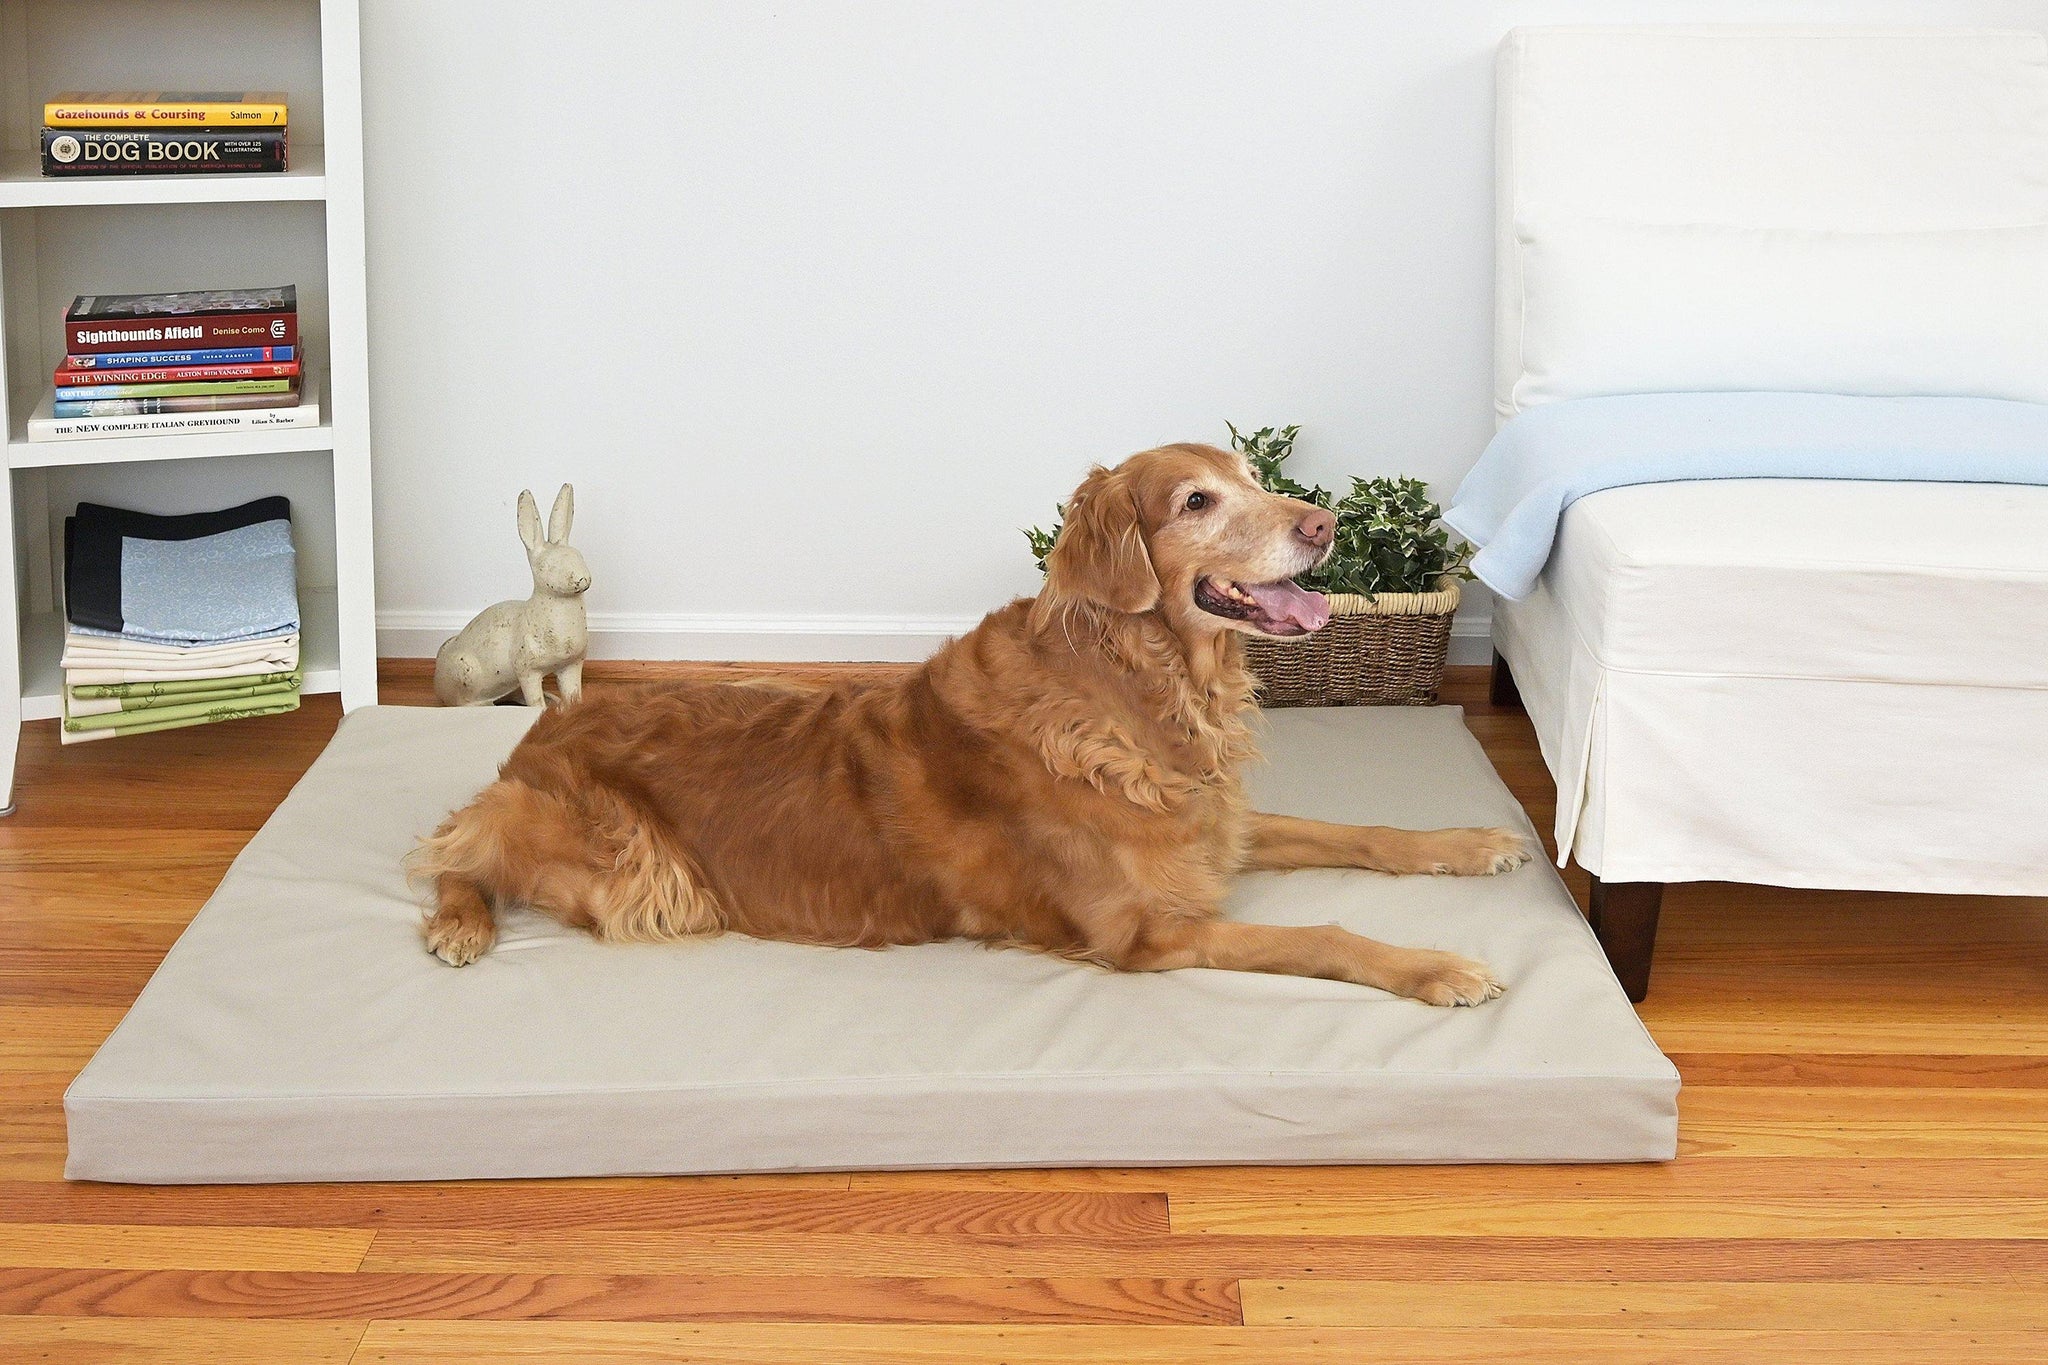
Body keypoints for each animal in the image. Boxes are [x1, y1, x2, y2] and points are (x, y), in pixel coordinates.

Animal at [415, 446, 1531, 1002]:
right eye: (1198, 500)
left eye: (1256, 480)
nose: (1323, 524)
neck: (1139, 689)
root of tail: (546, 725)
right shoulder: (1149, 932)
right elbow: (1323, 934)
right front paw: (1436, 966)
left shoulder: (1218, 830)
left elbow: (1362, 832)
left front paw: (1474, 840)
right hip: (644, 876)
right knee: (453, 846)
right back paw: (459, 925)